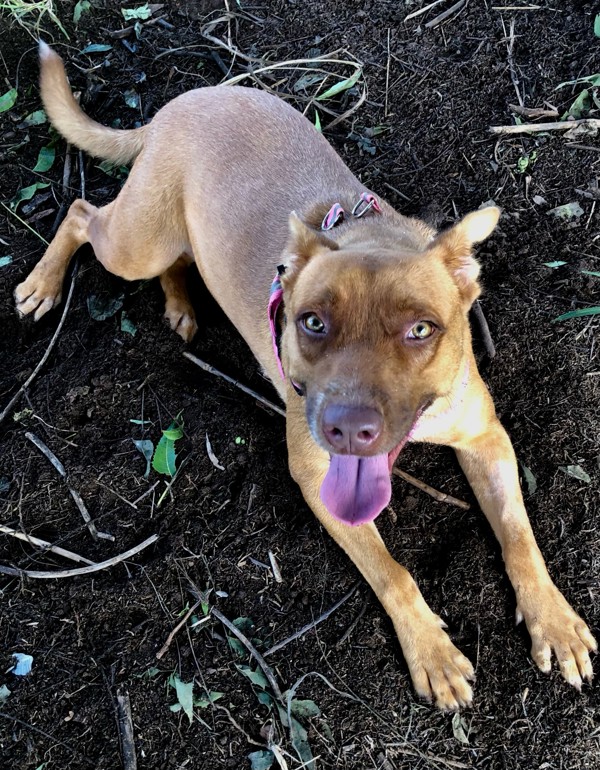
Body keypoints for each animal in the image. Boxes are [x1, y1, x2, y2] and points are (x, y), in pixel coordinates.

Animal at [15, 43, 596, 710]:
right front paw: (431, 651)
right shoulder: (318, 476)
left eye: (421, 330)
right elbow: (392, 574)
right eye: (311, 322)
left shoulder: (484, 438)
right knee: (82, 214)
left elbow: (520, 535)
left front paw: (553, 620)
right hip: (136, 242)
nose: (348, 430)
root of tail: (185, 101)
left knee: (171, 254)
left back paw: (180, 304)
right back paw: (43, 283)